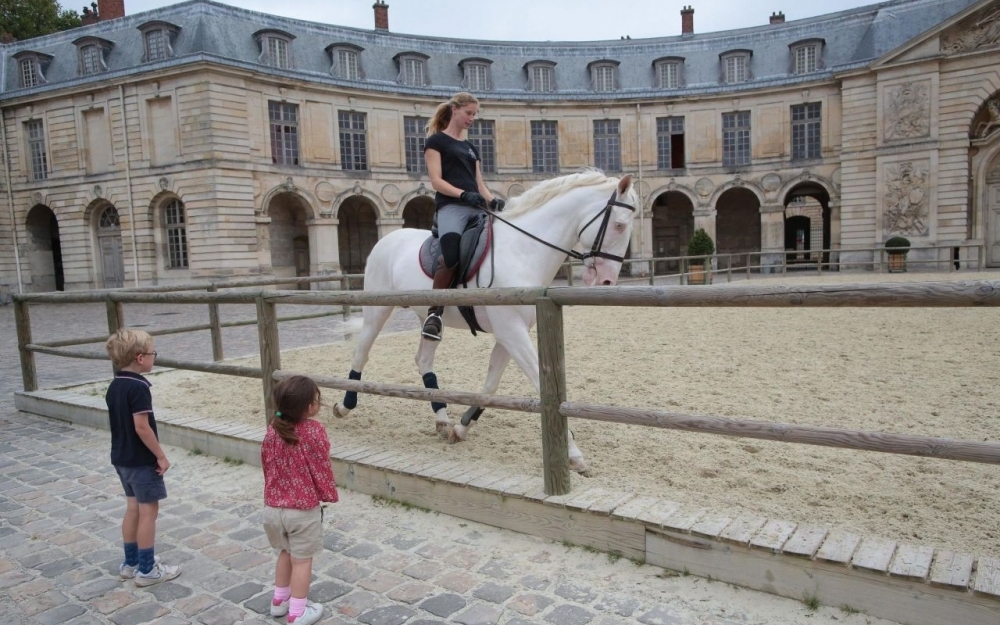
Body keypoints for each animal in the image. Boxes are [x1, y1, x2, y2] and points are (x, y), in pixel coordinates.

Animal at [332, 168, 636, 470]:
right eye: (620, 226)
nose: (607, 281)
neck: (522, 251)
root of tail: (388, 238)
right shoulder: (512, 332)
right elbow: (543, 384)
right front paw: (573, 453)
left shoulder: (510, 334)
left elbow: (490, 387)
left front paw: (461, 428)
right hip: (377, 310)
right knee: (362, 352)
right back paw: (345, 406)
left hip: (425, 316)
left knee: (423, 359)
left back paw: (442, 418)